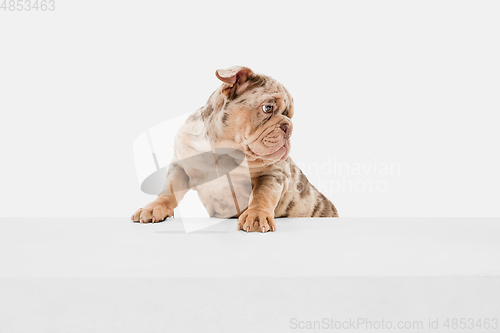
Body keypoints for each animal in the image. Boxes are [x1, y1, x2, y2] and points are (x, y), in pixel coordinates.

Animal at [131, 65, 338, 231]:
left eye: (290, 116)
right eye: (268, 108)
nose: (288, 126)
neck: (223, 150)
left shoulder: (273, 174)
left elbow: (262, 196)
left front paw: (256, 215)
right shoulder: (181, 167)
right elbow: (169, 191)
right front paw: (153, 207)